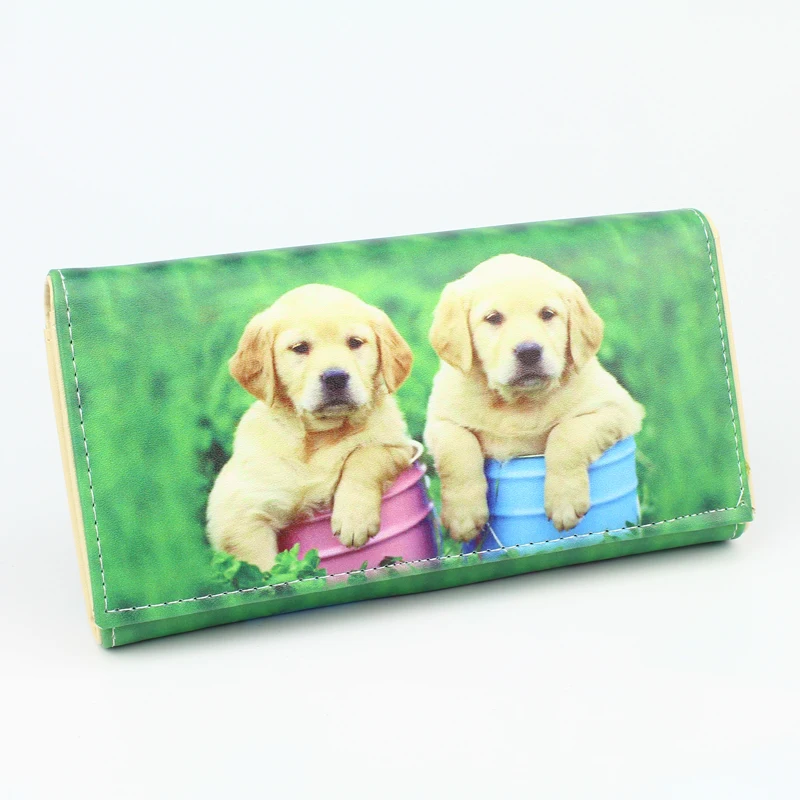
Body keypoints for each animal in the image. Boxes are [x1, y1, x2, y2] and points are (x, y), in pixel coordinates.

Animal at [207, 284, 415, 572]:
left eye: (355, 342)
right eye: (300, 348)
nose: (335, 377)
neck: (320, 436)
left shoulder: (401, 446)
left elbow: (366, 454)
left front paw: (354, 517)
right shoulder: (236, 510)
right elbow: (261, 567)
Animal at [424, 254, 644, 541]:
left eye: (547, 314)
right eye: (493, 318)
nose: (529, 351)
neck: (517, 402)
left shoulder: (616, 407)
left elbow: (566, 433)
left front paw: (564, 502)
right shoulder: (440, 421)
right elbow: (457, 447)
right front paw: (463, 515)